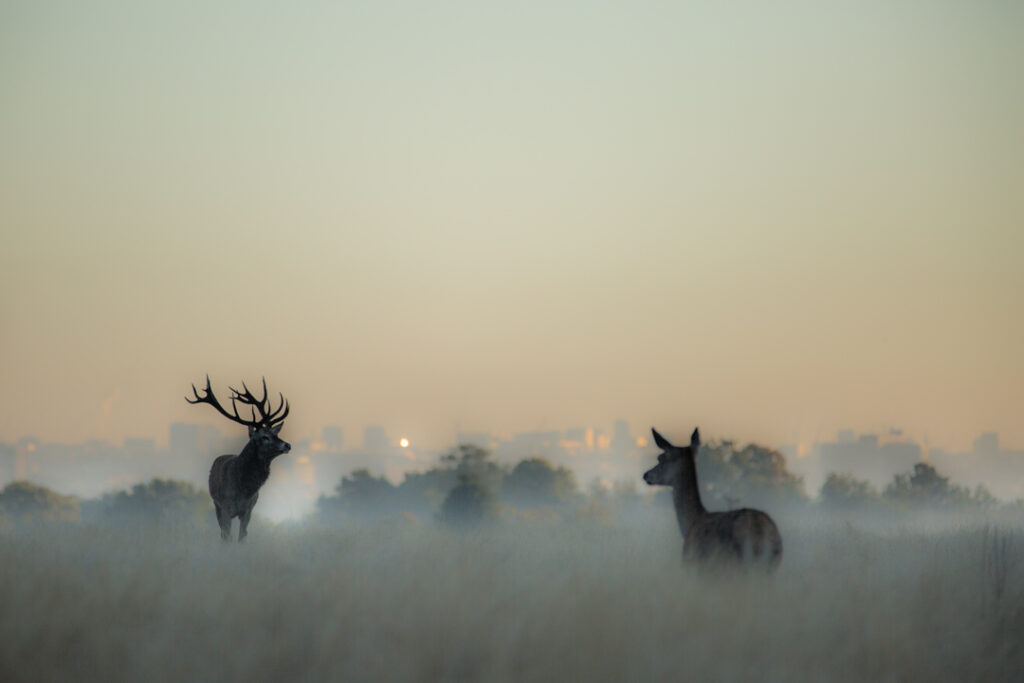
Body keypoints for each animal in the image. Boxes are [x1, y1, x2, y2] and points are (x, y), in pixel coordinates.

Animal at [186, 376, 291, 542]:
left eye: (276, 434)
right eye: (264, 437)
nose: (287, 445)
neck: (243, 489)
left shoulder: (248, 510)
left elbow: (242, 537)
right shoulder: (225, 507)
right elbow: (227, 536)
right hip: (216, 506)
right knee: (222, 534)